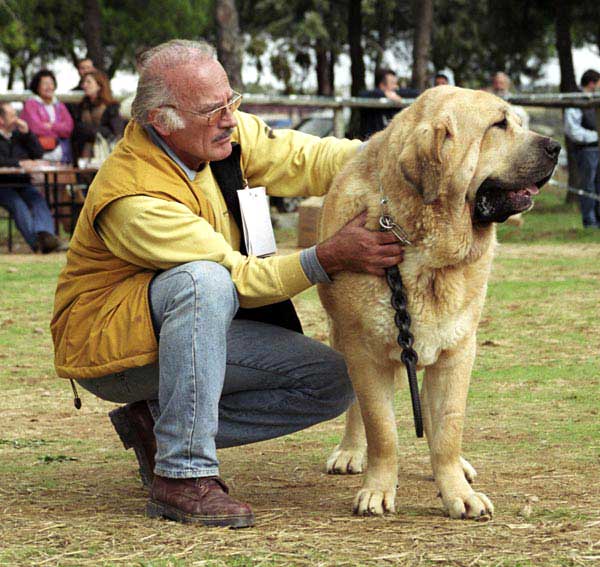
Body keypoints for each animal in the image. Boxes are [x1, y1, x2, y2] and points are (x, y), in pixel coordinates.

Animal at [318, 87, 556, 520]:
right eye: (499, 125)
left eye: (518, 121)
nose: (556, 147)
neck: (426, 250)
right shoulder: (364, 353)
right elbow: (381, 429)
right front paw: (377, 490)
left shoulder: (458, 352)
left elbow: (448, 429)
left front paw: (457, 492)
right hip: (341, 339)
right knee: (357, 410)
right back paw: (350, 451)